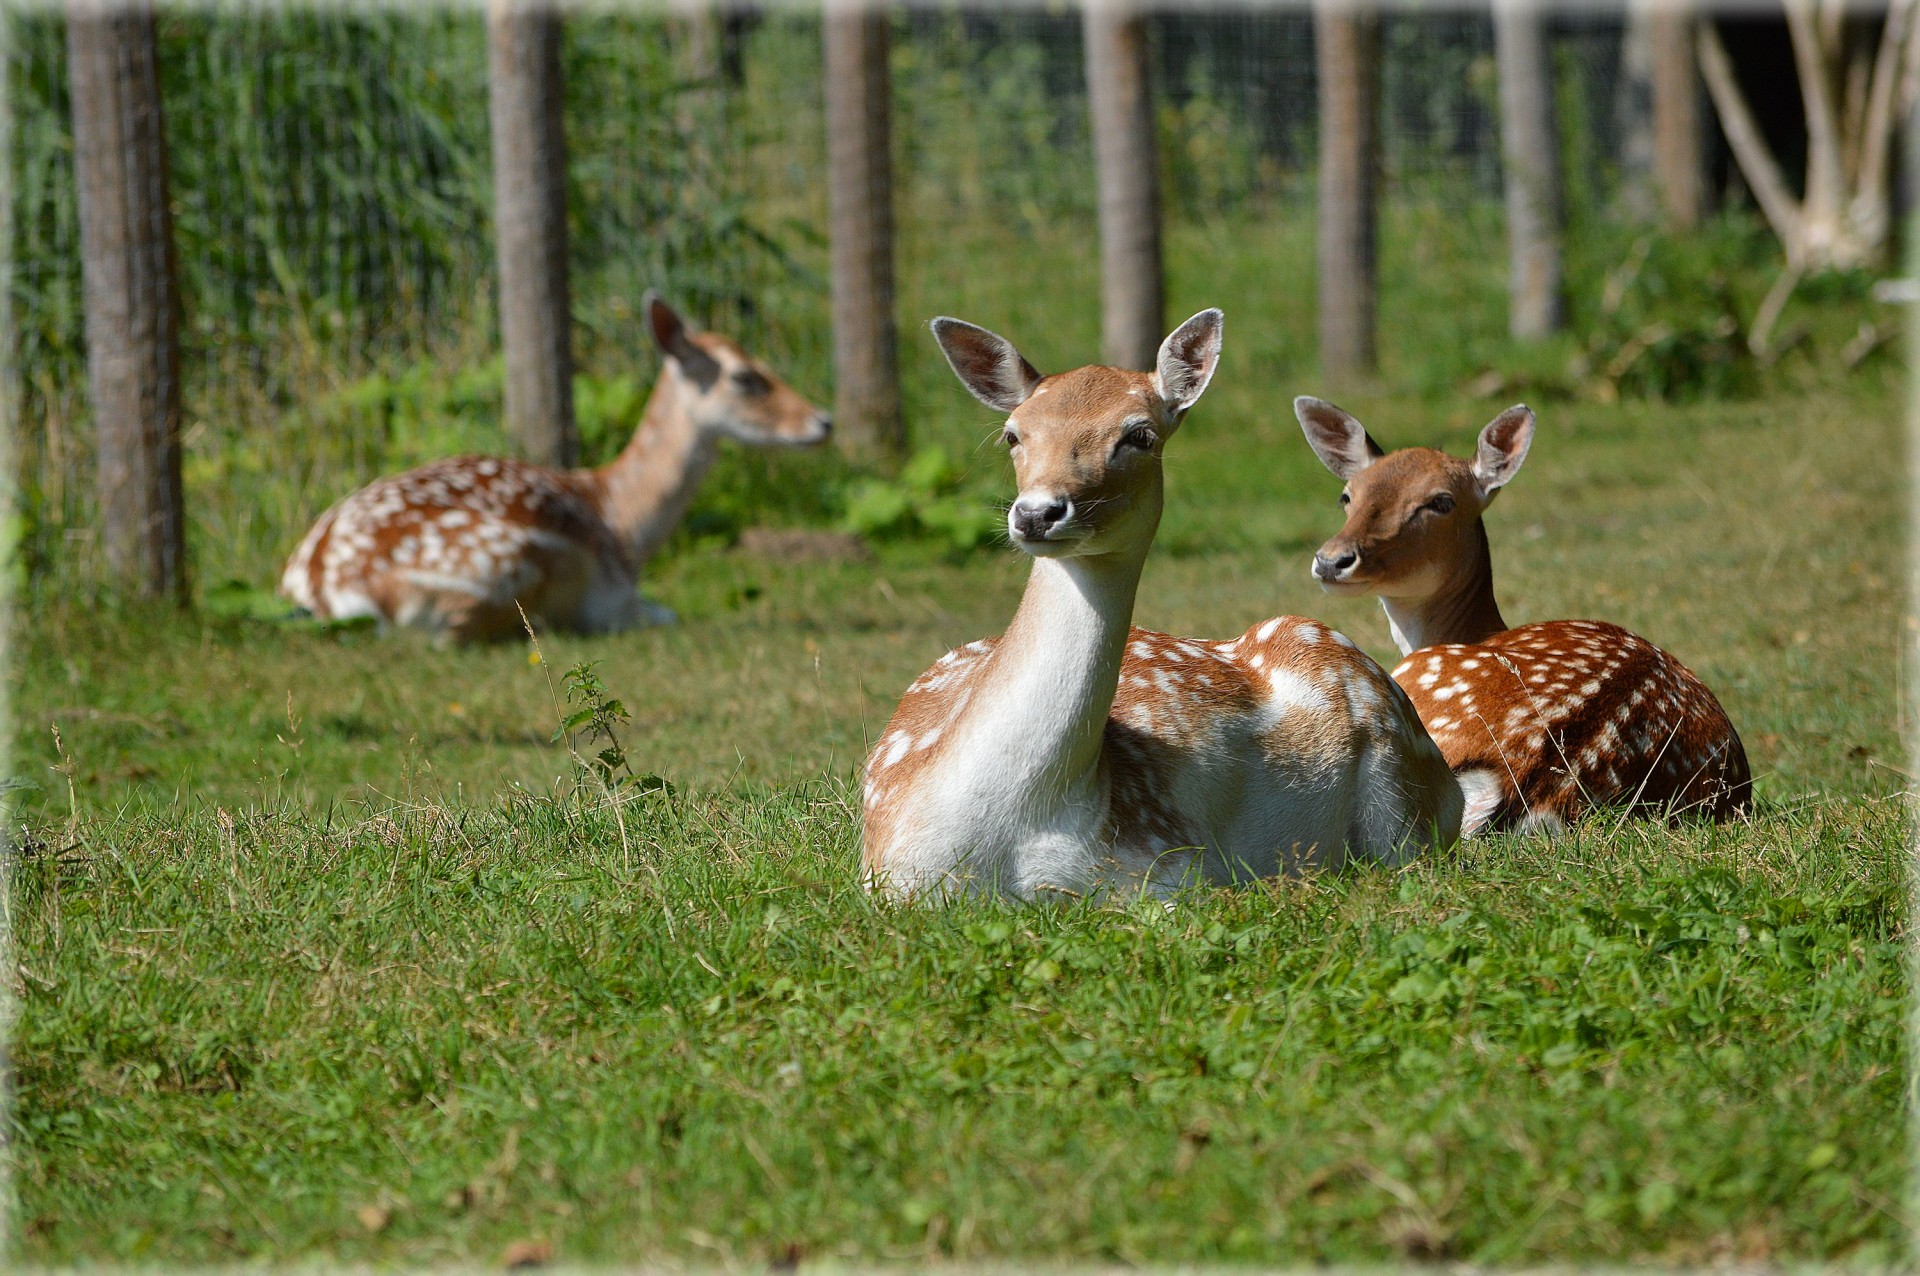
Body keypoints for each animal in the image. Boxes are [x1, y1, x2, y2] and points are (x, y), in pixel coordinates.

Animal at [282, 293, 825, 640]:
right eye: (746, 377)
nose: (822, 420)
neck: (622, 523)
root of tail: (325, 590)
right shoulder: (609, 601)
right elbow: (667, 614)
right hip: (503, 565)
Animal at [864, 312, 1459, 901]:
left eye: (1139, 435)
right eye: (1013, 434)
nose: (1037, 513)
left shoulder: (1170, 867)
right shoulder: (891, 878)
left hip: (1401, 786)